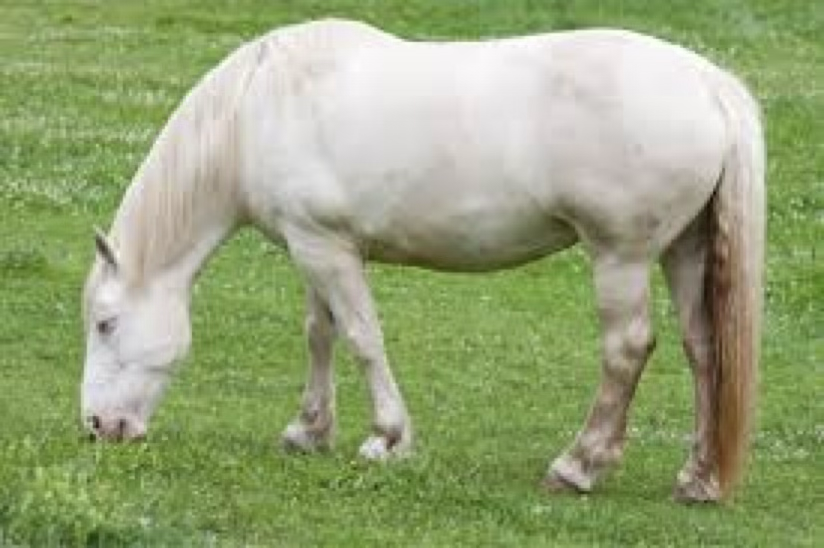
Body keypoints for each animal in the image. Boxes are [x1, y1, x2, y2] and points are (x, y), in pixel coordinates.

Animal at [80, 19, 764, 502]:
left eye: (106, 324)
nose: (99, 427)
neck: (257, 110)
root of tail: (709, 84)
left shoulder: (327, 249)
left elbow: (362, 338)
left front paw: (387, 438)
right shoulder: (312, 246)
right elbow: (320, 333)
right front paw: (309, 430)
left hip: (620, 257)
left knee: (627, 350)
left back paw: (578, 465)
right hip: (684, 250)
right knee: (703, 348)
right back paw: (698, 478)